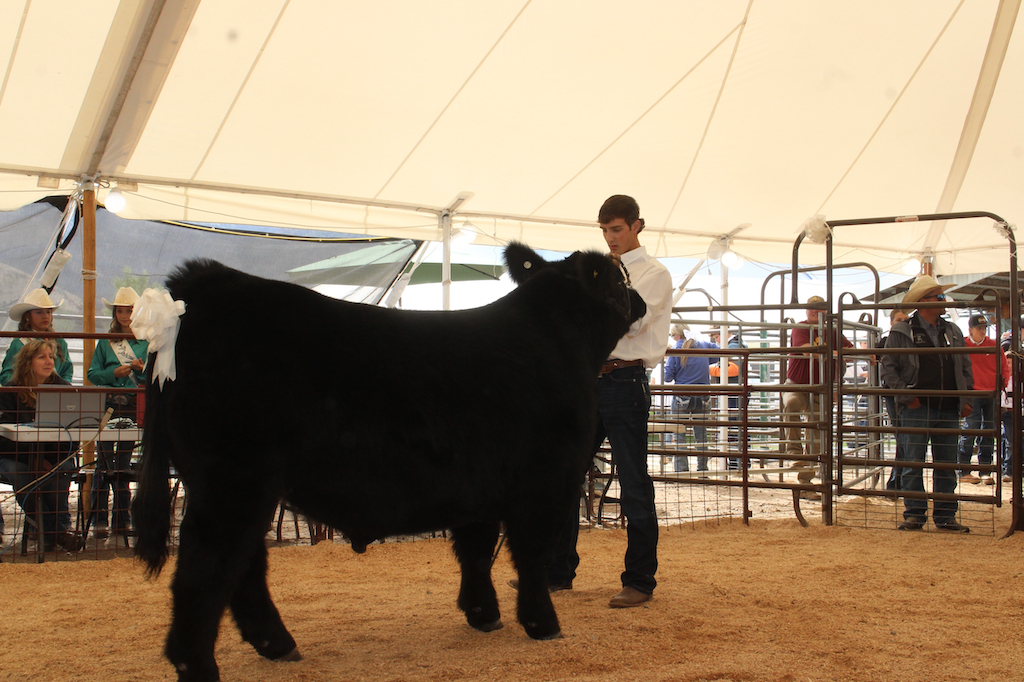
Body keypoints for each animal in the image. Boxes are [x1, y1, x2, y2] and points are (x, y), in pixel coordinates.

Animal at [133, 242, 646, 682]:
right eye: (621, 278)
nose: (642, 300)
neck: (558, 340)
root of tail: (210, 283)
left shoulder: (479, 490)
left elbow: (476, 551)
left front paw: (483, 614)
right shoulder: (545, 482)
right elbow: (531, 556)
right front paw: (542, 623)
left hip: (239, 487)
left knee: (244, 568)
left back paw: (277, 644)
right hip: (232, 483)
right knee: (205, 571)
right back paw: (199, 666)